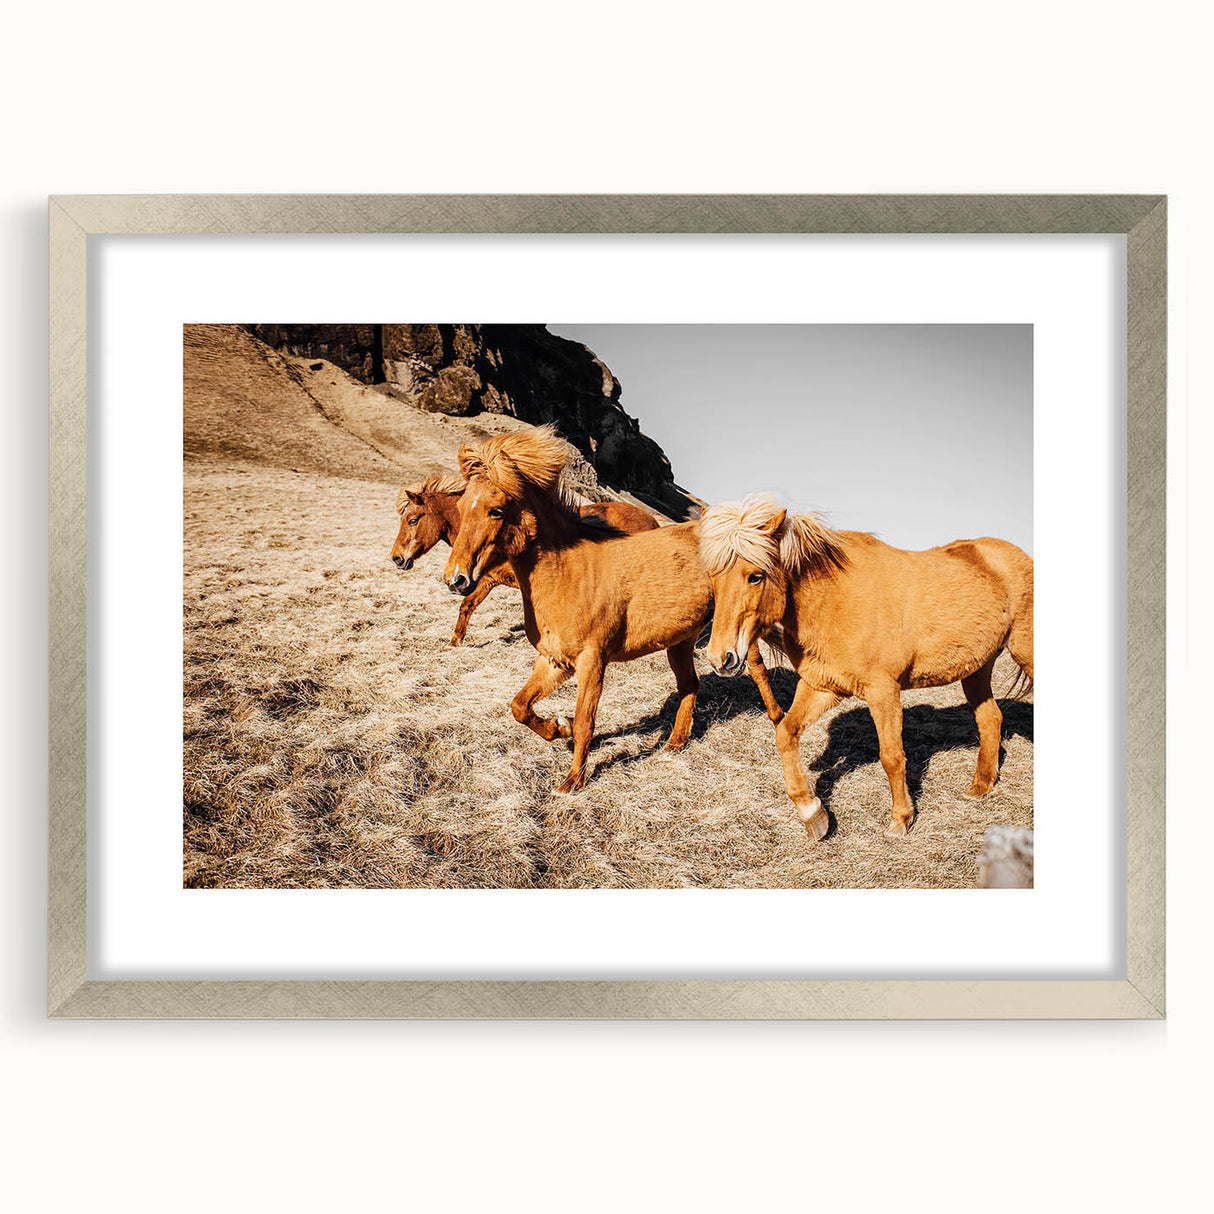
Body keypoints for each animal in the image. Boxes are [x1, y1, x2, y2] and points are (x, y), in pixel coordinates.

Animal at [390, 473, 659, 646]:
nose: (397, 558)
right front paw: (454, 642)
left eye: (412, 520)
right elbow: (467, 606)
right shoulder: (487, 580)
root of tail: (651, 521)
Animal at [442, 425, 786, 794]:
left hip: (734, 633)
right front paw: (558, 728)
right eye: (460, 505)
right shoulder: (554, 660)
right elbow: (520, 707)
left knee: (757, 669)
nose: (455, 579)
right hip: (680, 641)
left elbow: (585, 721)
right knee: (690, 685)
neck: (569, 572)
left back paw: (777, 719)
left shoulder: (592, 660)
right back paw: (675, 743)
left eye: (495, 510)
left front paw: (573, 780)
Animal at [699, 495, 1033, 841]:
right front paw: (813, 813)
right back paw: (980, 787)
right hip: (976, 669)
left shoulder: (883, 691)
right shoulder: (821, 686)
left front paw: (901, 820)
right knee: (991, 719)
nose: (721, 658)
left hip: (1025, 652)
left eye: (755, 575)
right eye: (713, 576)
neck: (835, 601)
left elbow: (892, 756)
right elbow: (785, 733)